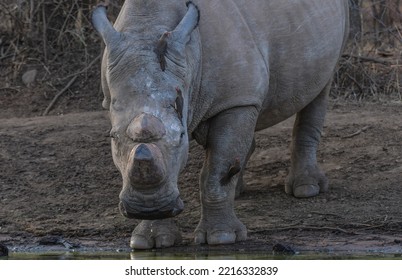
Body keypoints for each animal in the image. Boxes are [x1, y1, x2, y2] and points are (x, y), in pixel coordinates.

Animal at [92, 0, 348, 249]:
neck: (147, 28)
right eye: (112, 137)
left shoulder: (235, 101)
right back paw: (239, 191)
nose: (148, 208)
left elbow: (217, 171)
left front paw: (221, 238)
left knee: (318, 92)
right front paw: (149, 240)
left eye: (182, 136)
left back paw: (306, 189)